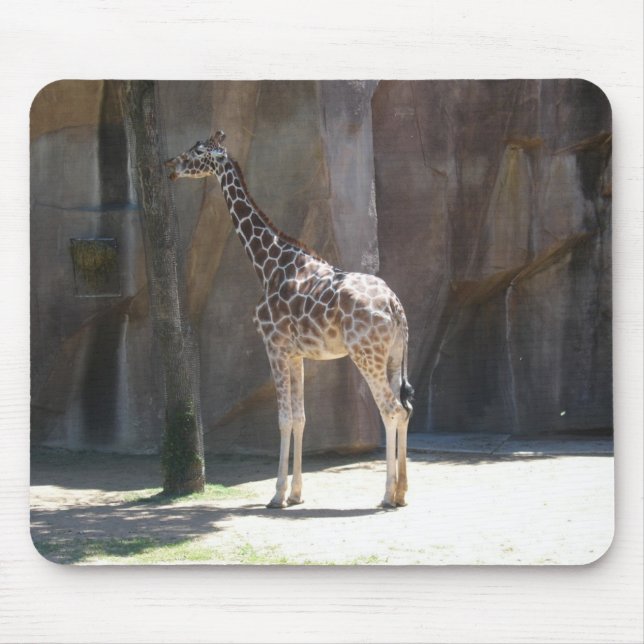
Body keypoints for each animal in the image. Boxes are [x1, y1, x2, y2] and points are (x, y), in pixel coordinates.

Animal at [165, 131, 414, 508]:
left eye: (197, 150)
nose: (171, 166)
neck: (267, 264)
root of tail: (394, 304)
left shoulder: (275, 346)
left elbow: (283, 419)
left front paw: (277, 494)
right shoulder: (296, 354)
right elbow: (300, 417)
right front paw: (296, 493)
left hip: (366, 355)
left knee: (392, 409)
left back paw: (386, 495)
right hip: (394, 356)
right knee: (405, 407)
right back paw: (401, 492)